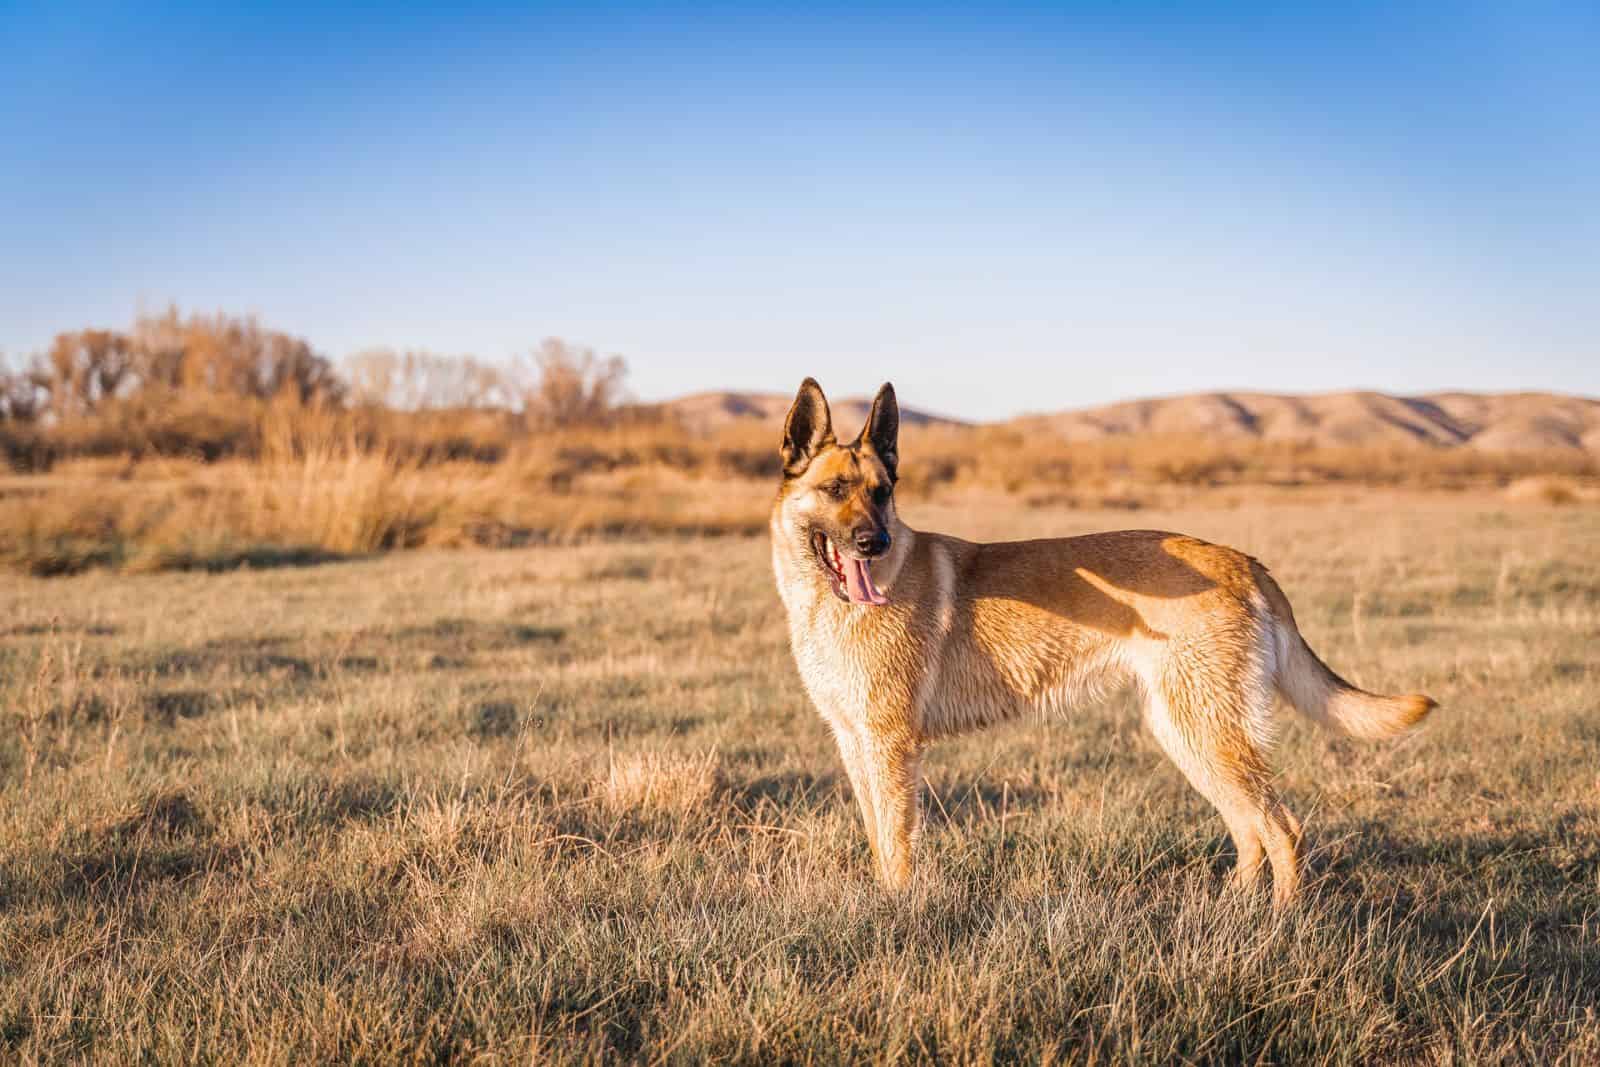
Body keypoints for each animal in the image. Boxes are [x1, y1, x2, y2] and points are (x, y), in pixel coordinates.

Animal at [768, 379, 1433, 908]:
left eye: (882, 492)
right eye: (835, 490)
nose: (873, 543)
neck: (828, 603)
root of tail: (1243, 561)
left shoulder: (891, 747)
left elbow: (898, 846)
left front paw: (900, 914)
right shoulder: (856, 743)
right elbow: (879, 839)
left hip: (1208, 734)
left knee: (1282, 828)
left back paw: (1280, 923)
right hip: (1187, 733)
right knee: (1249, 830)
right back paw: (1235, 914)